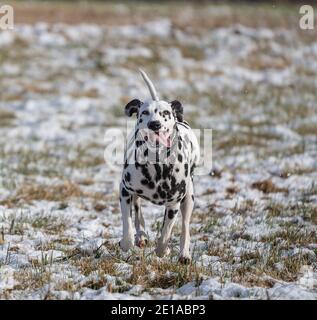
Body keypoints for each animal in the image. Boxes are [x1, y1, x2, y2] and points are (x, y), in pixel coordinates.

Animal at [117, 69, 199, 264]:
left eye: (166, 113)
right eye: (144, 112)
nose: (155, 124)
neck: (157, 166)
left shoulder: (174, 204)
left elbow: (166, 233)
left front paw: (164, 249)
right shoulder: (125, 191)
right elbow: (128, 224)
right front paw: (128, 241)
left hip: (189, 199)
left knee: (185, 227)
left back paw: (184, 254)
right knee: (138, 210)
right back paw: (141, 236)